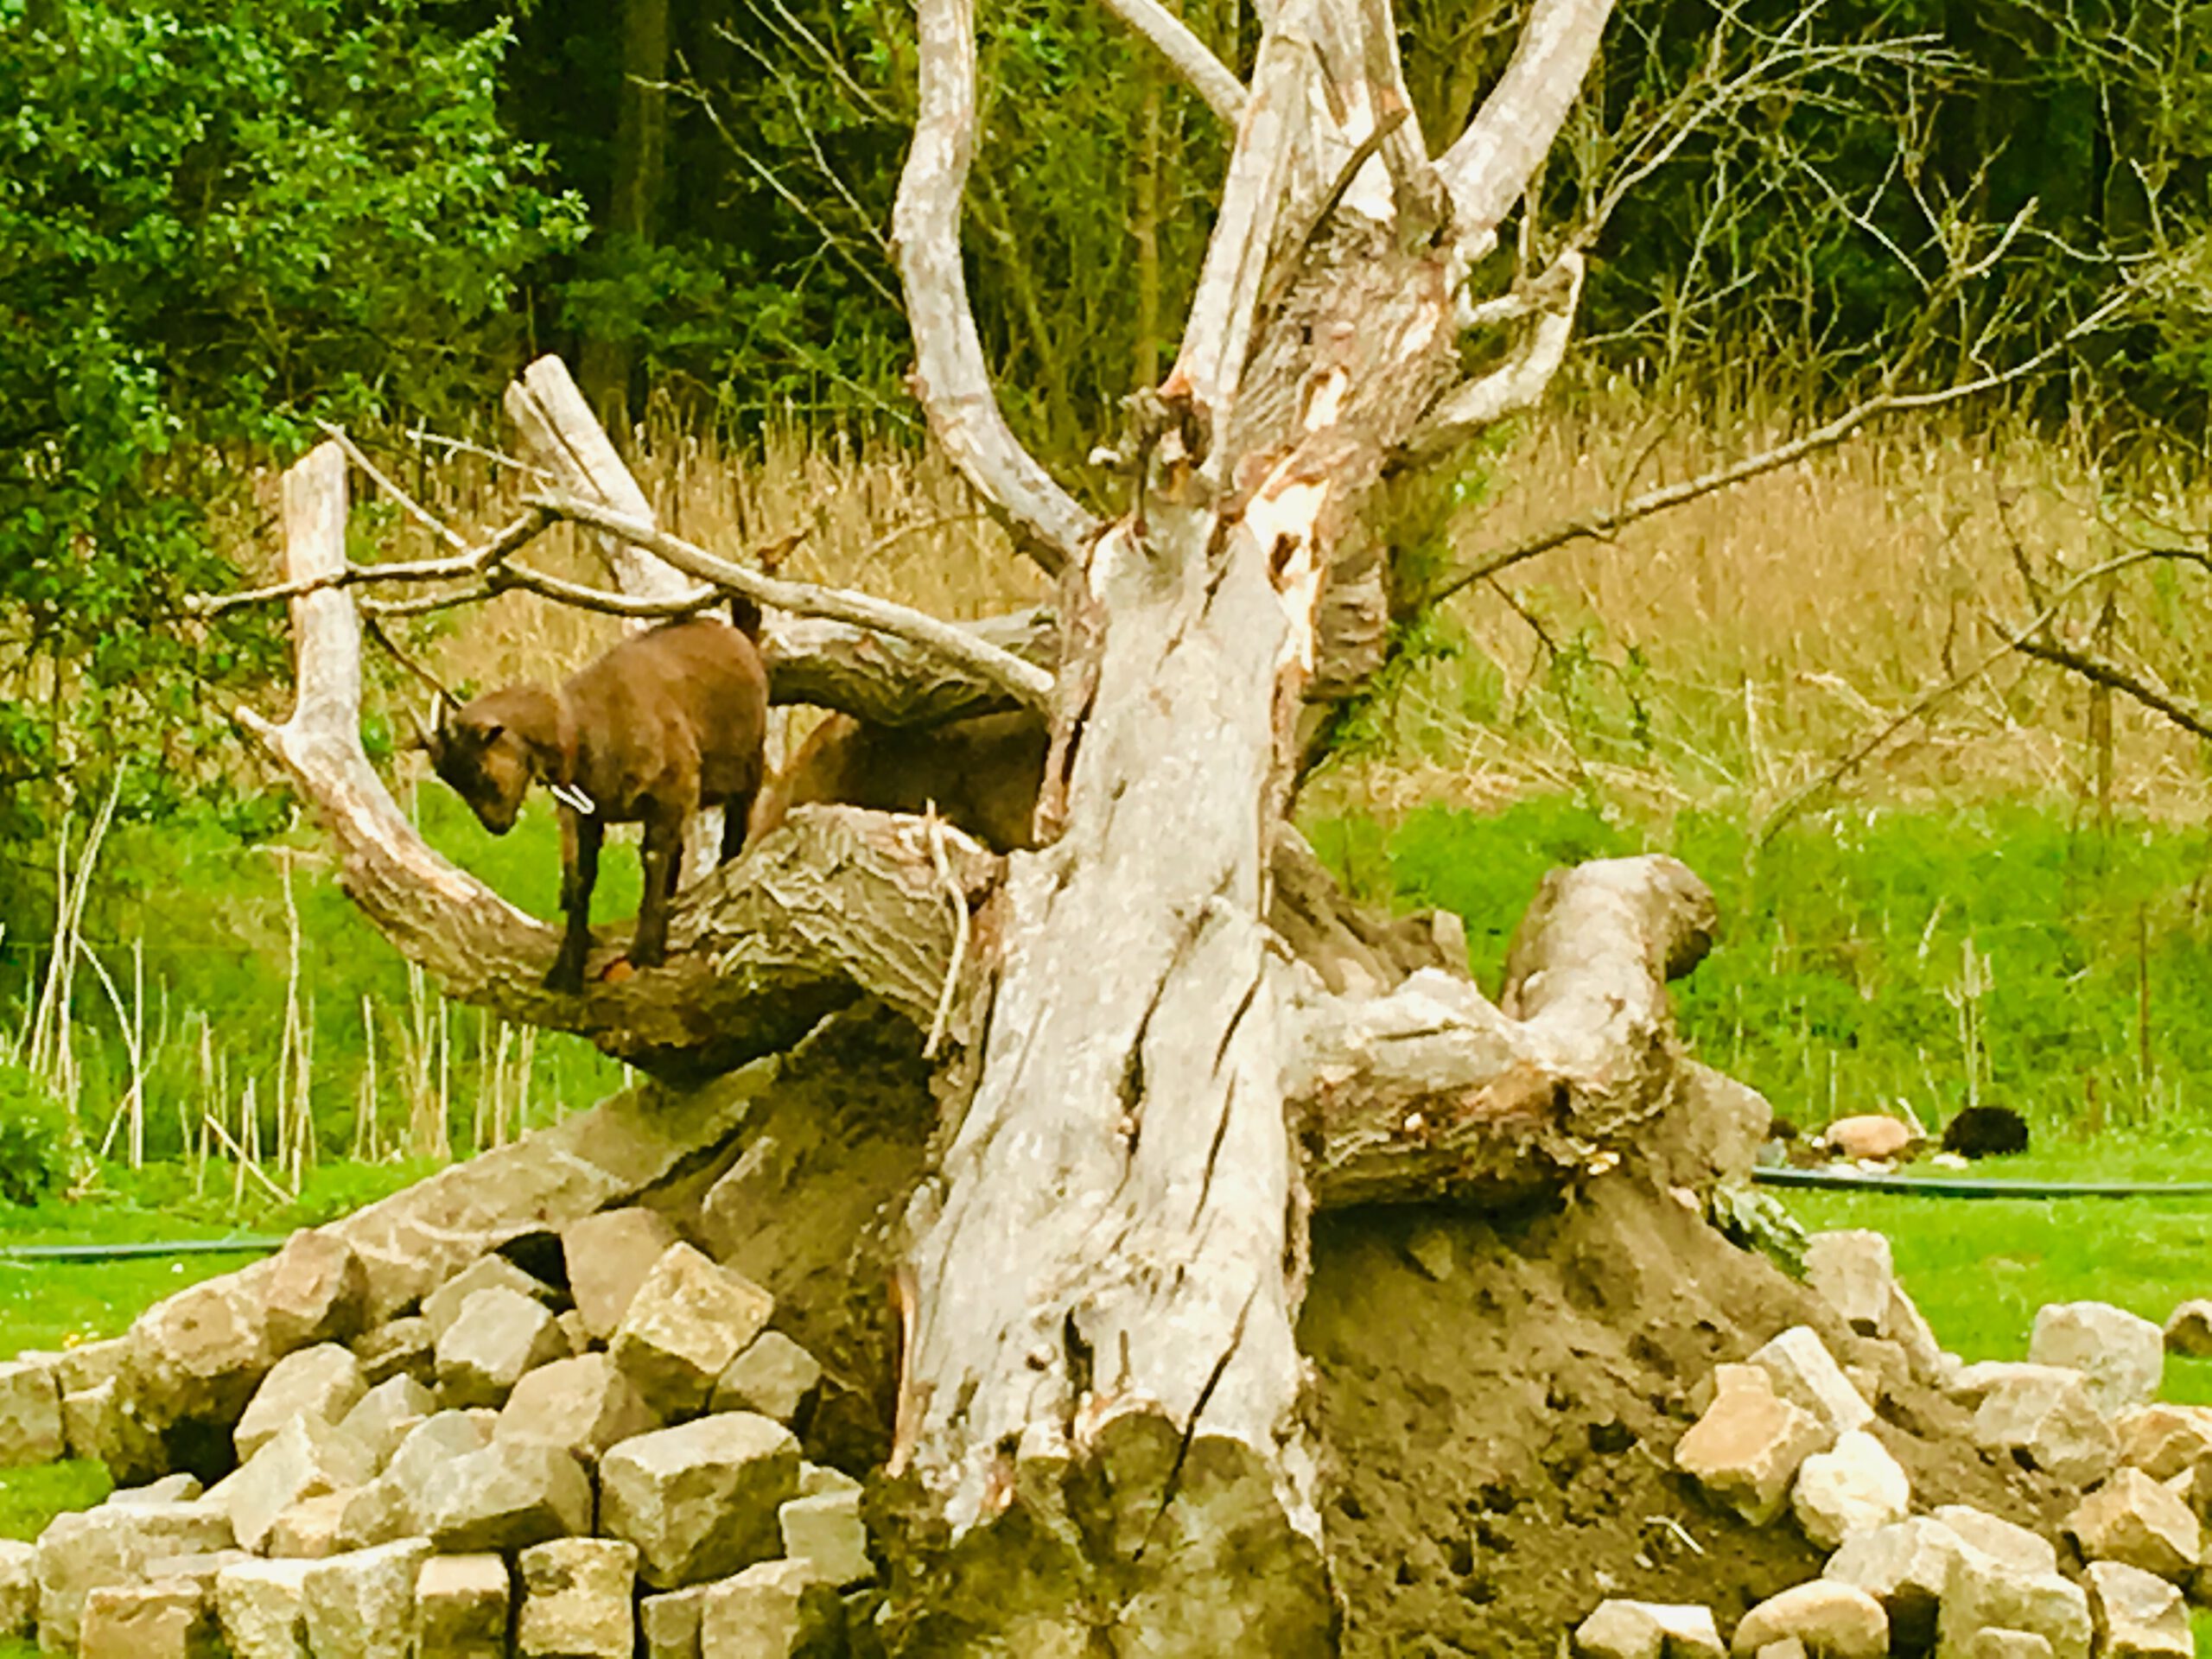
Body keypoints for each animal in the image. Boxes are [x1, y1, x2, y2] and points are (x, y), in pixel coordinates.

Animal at [419, 611, 769, 994]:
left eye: (480, 770)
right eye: (450, 779)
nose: (496, 826)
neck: (587, 728)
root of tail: (733, 633)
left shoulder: (673, 789)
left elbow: (653, 857)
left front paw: (646, 949)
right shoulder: (584, 814)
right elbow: (580, 880)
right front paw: (567, 967)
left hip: (746, 767)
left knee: (733, 831)